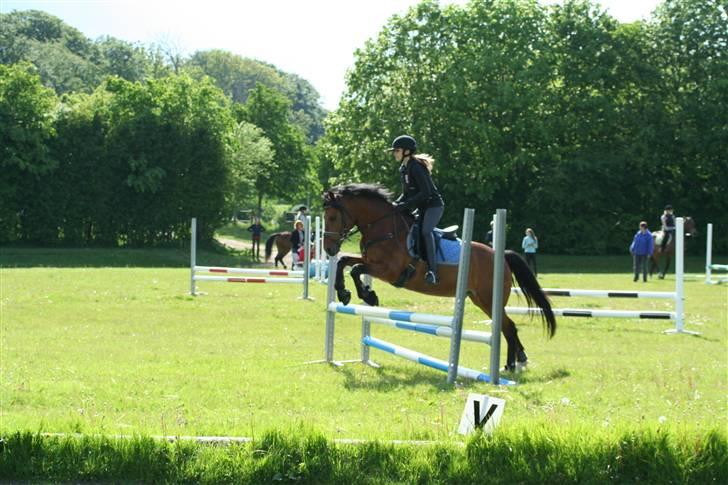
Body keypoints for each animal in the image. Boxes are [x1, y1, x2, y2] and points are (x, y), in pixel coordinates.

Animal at [322, 182, 556, 370]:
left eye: (332, 217)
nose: (329, 249)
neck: (383, 227)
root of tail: (501, 256)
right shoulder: (369, 261)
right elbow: (345, 262)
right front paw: (345, 293)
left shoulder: (389, 271)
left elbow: (355, 269)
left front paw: (366, 295)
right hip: (479, 299)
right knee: (507, 327)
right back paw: (518, 361)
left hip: (489, 300)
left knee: (508, 326)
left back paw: (511, 365)